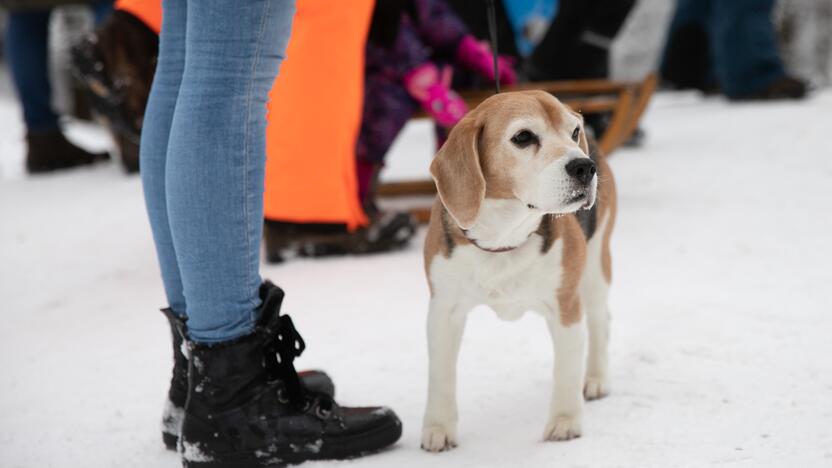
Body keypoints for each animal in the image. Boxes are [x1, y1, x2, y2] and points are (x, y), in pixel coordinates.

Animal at [422, 89, 616, 452]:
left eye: (573, 132)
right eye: (523, 137)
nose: (585, 166)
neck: (503, 238)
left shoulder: (566, 306)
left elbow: (566, 370)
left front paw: (565, 421)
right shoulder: (443, 311)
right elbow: (441, 375)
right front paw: (438, 427)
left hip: (596, 269)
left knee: (600, 321)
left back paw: (596, 378)